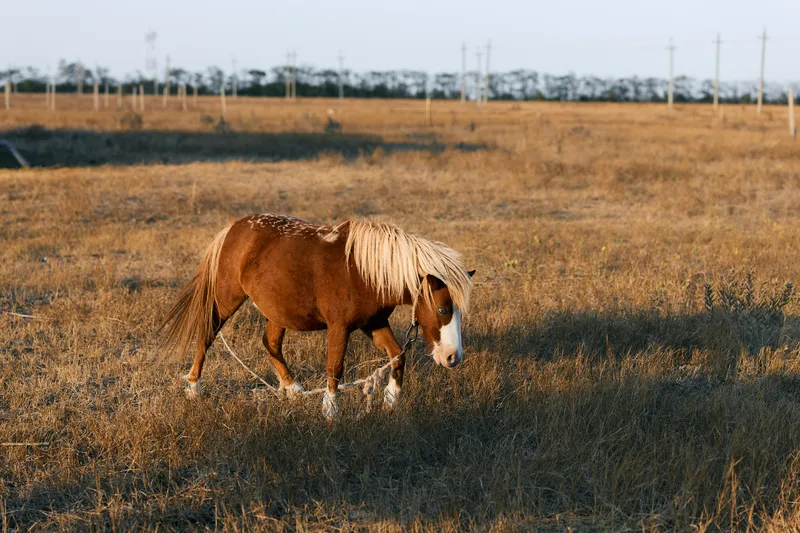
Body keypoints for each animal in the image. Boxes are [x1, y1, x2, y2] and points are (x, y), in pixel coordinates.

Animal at [159, 214, 475, 419]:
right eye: (443, 309)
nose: (452, 357)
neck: (364, 270)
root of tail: (233, 228)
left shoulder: (373, 323)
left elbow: (398, 355)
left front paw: (390, 399)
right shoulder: (340, 326)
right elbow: (334, 367)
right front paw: (330, 411)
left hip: (277, 311)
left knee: (270, 343)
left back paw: (293, 389)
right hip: (226, 299)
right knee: (207, 334)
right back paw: (193, 387)